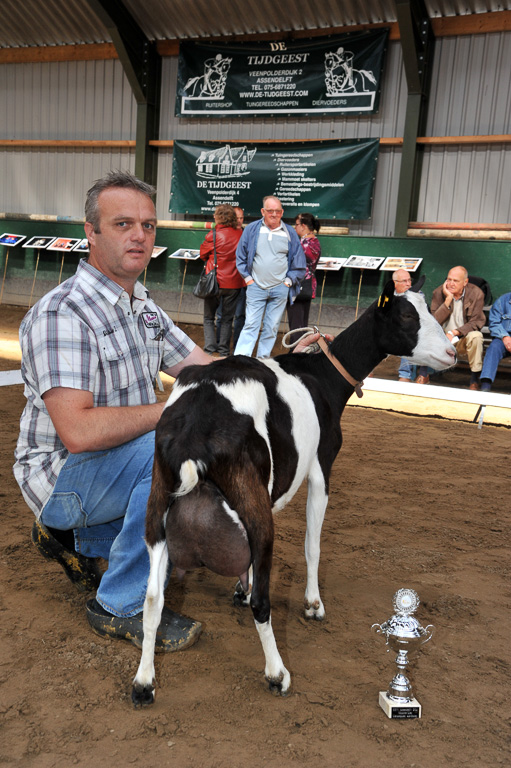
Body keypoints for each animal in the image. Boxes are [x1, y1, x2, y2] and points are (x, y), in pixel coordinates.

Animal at [132, 280, 456, 704]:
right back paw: (277, 674)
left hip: (158, 504)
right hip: (253, 506)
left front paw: (240, 587)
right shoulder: (321, 466)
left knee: (153, 598)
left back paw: (143, 682)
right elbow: (312, 545)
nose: (451, 353)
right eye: (405, 315)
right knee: (263, 602)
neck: (322, 377)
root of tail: (193, 428)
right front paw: (313, 604)